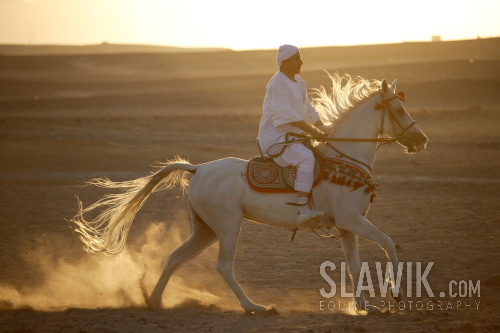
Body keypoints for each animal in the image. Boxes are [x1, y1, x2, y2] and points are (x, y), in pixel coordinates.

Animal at [71, 74, 430, 312]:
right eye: (399, 110)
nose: (422, 141)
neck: (345, 159)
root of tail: (197, 169)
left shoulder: (346, 227)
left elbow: (356, 265)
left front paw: (364, 306)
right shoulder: (352, 221)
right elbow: (388, 244)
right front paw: (395, 293)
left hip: (205, 229)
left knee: (175, 256)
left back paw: (155, 300)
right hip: (228, 225)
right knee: (223, 266)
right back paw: (253, 306)